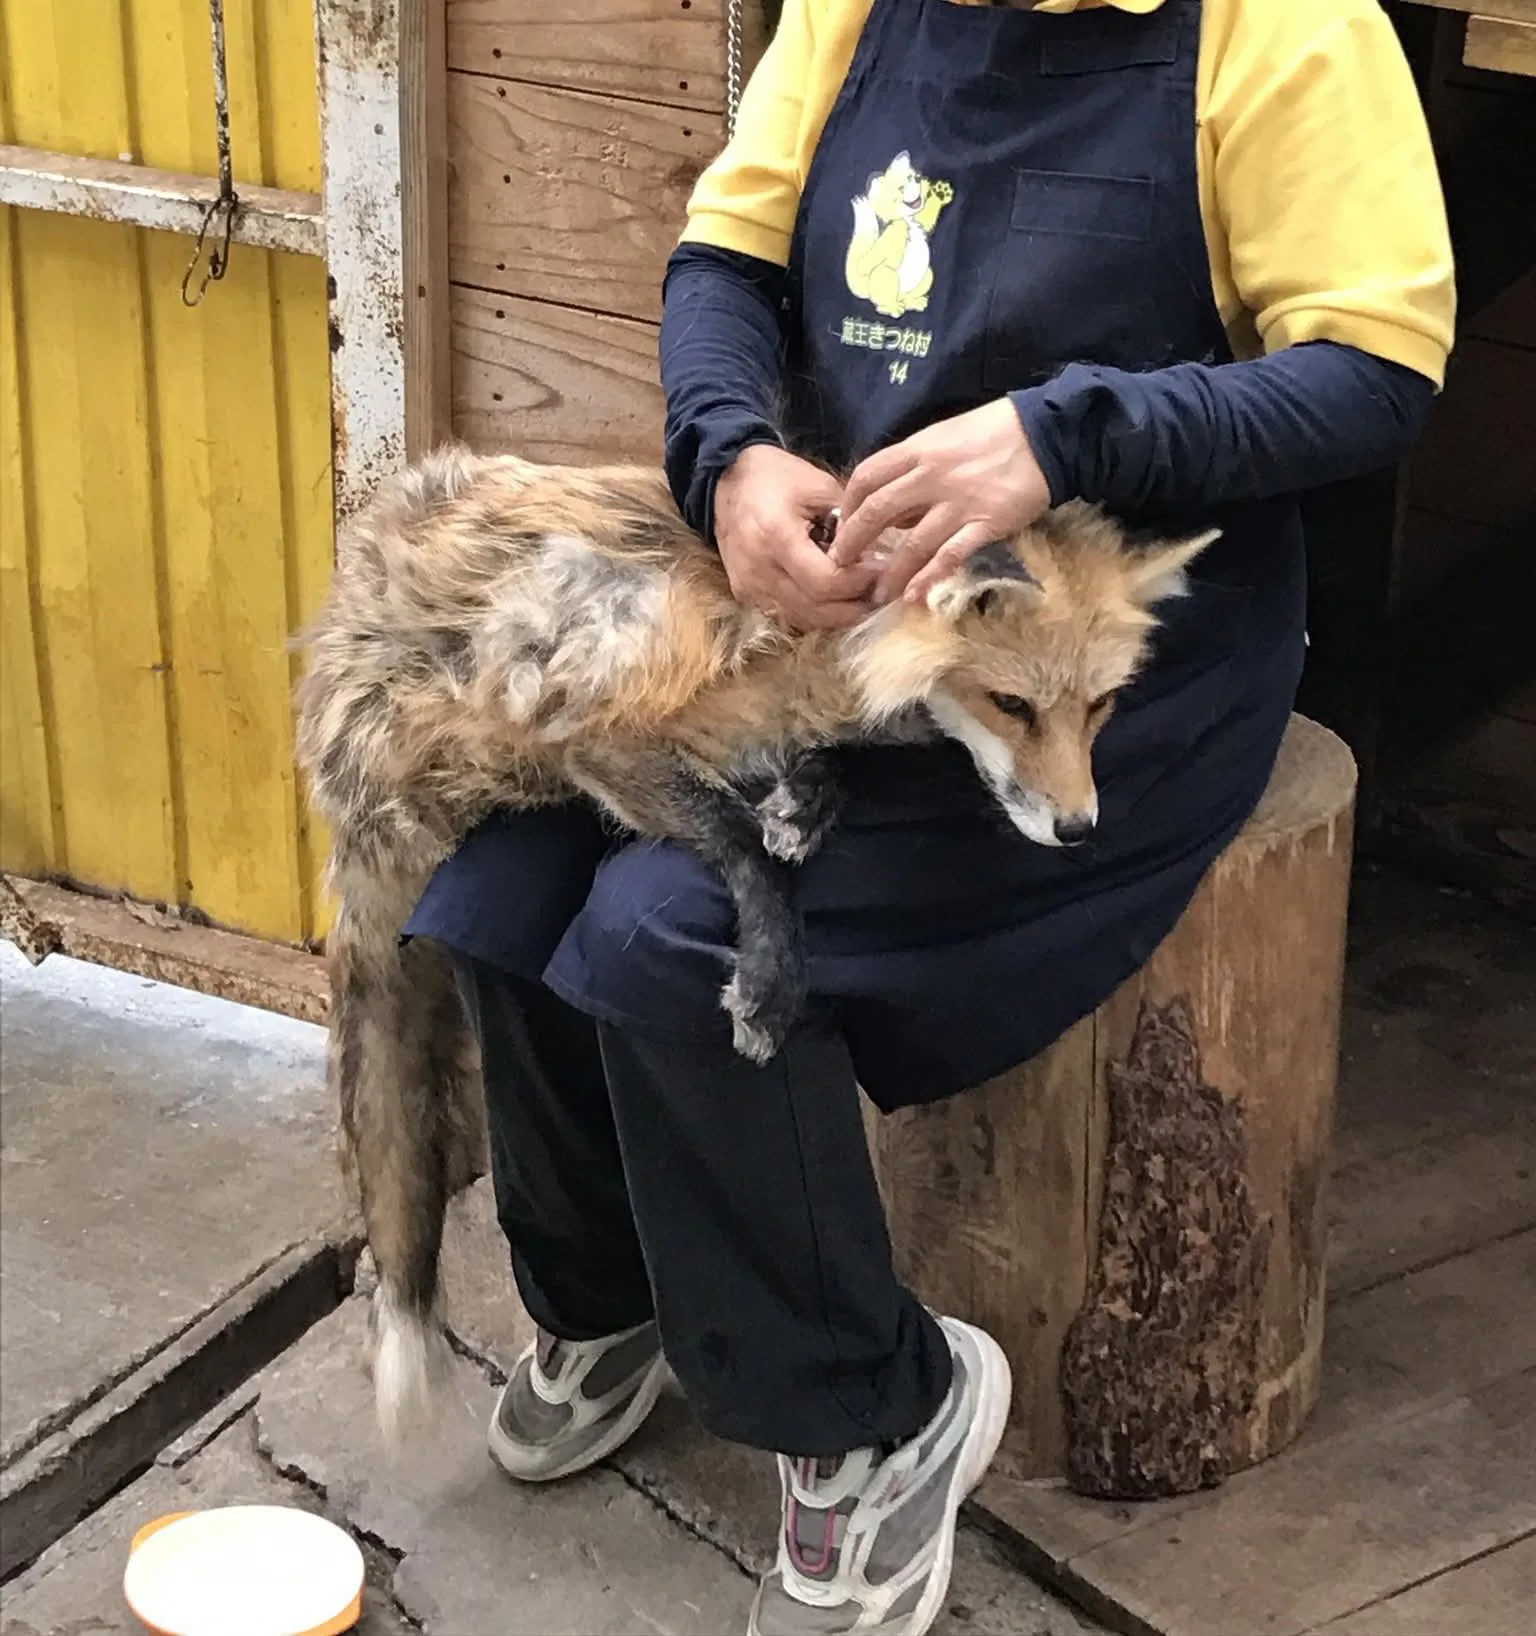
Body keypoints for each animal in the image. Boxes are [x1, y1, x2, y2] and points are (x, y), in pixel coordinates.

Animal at [292, 443, 1218, 1441]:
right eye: (1012, 704)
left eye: (1102, 705)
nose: (1080, 831)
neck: (825, 647)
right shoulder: (607, 737)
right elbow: (742, 847)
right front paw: (773, 979)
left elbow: (807, 783)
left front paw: (805, 801)